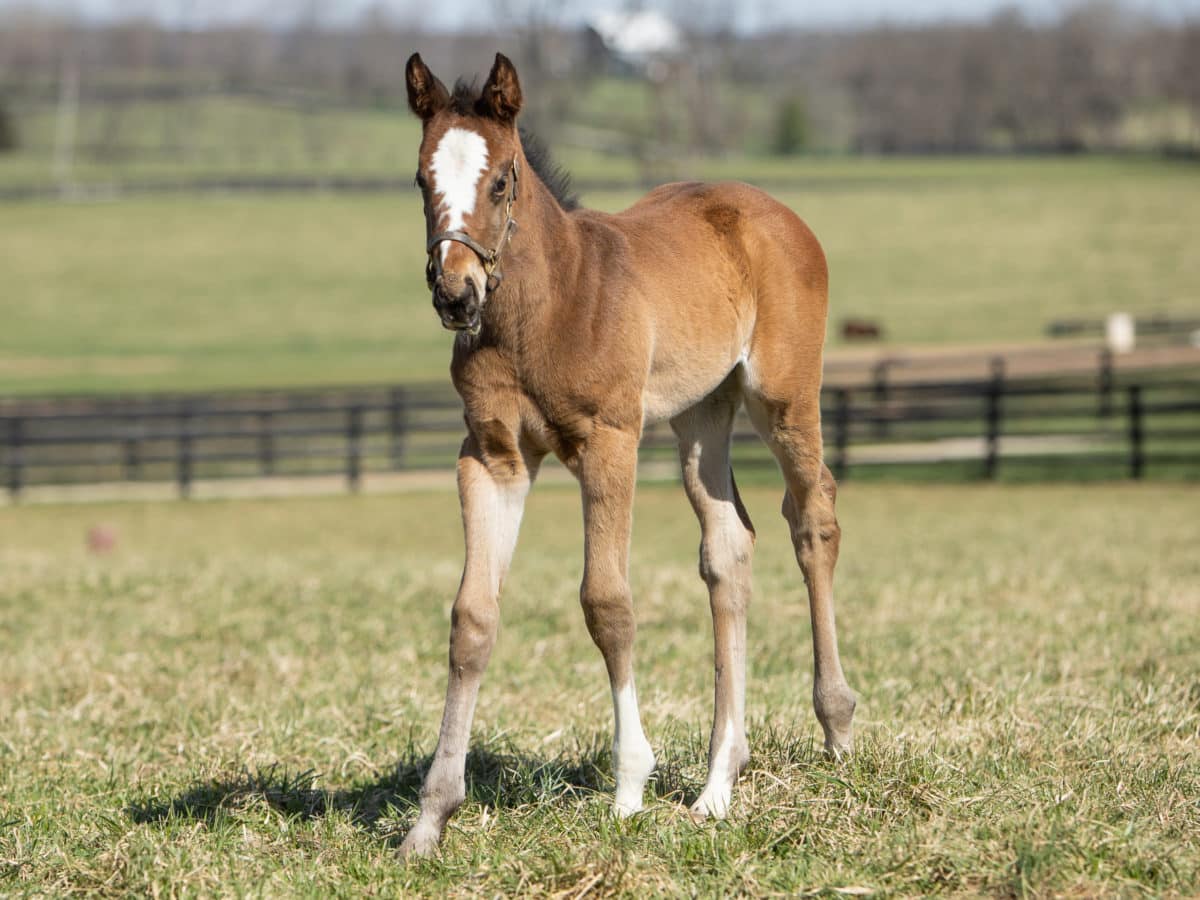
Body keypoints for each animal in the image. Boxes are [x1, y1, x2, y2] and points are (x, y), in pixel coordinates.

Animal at [400, 51, 854, 859]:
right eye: (422, 180)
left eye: (501, 180)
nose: (456, 294)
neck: (550, 305)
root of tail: (773, 211)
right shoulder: (491, 456)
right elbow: (472, 617)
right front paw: (430, 818)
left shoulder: (610, 440)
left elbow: (606, 602)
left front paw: (629, 789)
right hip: (702, 414)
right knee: (728, 546)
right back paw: (717, 785)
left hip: (783, 396)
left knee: (814, 520)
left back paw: (835, 727)